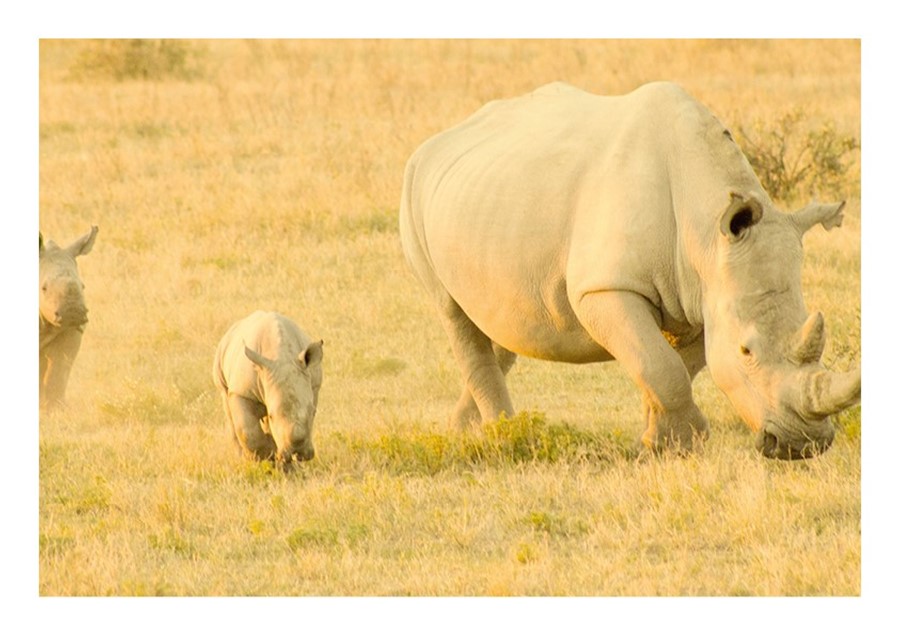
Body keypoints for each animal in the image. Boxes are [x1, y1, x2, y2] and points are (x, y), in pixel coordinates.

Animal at [40, 226, 99, 410]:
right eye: (44, 288)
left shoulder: (71, 331)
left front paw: (55, 409)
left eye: (83, 286)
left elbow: (59, 369)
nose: (72, 312)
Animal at [211, 314, 324, 468]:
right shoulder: (241, 392)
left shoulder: (314, 386)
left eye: (313, 413)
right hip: (222, 364)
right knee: (228, 408)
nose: (297, 450)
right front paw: (266, 455)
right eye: (271, 416)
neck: (281, 355)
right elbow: (247, 431)